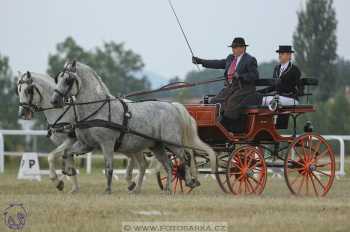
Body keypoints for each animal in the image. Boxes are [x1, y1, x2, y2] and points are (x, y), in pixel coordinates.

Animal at [50, 60, 216, 193]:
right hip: (157, 145)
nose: (54, 101)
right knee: (169, 165)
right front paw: (68, 170)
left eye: (68, 80)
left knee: (185, 158)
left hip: (172, 143)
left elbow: (109, 167)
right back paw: (168, 188)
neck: (97, 109)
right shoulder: (87, 144)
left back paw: (189, 181)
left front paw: (108, 189)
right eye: (58, 78)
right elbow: (67, 153)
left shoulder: (107, 144)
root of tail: (172, 106)